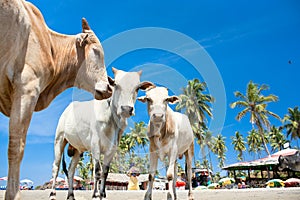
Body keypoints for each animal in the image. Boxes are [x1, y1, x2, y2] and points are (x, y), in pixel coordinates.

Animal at [49, 68, 155, 199]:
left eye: (137, 88)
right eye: (115, 85)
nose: (126, 109)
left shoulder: (112, 149)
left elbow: (105, 172)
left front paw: (102, 193)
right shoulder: (95, 146)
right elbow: (97, 171)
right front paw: (95, 194)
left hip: (77, 150)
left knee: (70, 170)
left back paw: (71, 195)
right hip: (59, 140)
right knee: (56, 167)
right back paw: (52, 193)